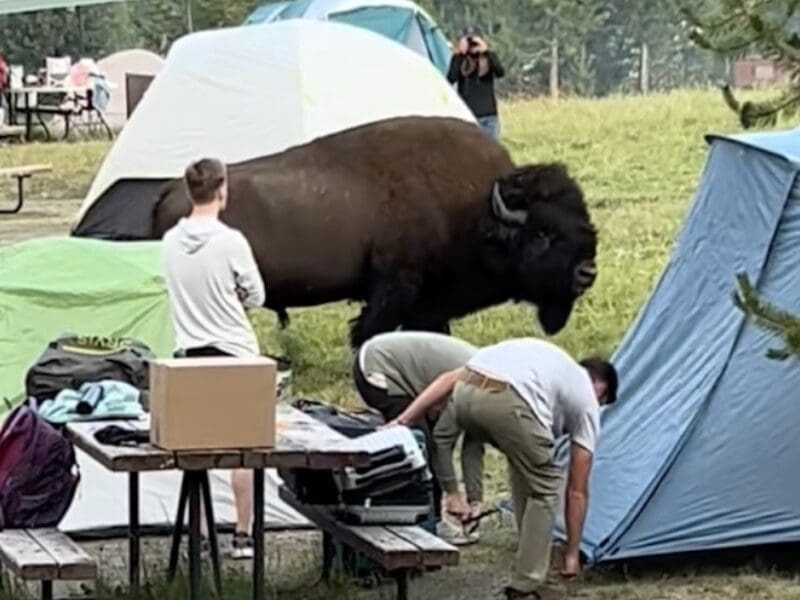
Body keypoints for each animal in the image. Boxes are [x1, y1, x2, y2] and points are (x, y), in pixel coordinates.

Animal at [151, 116, 598, 348]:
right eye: (542, 234)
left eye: (585, 220)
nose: (587, 272)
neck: (477, 210)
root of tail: (170, 190)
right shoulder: (393, 292)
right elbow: (368, 333)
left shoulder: (428, 306)